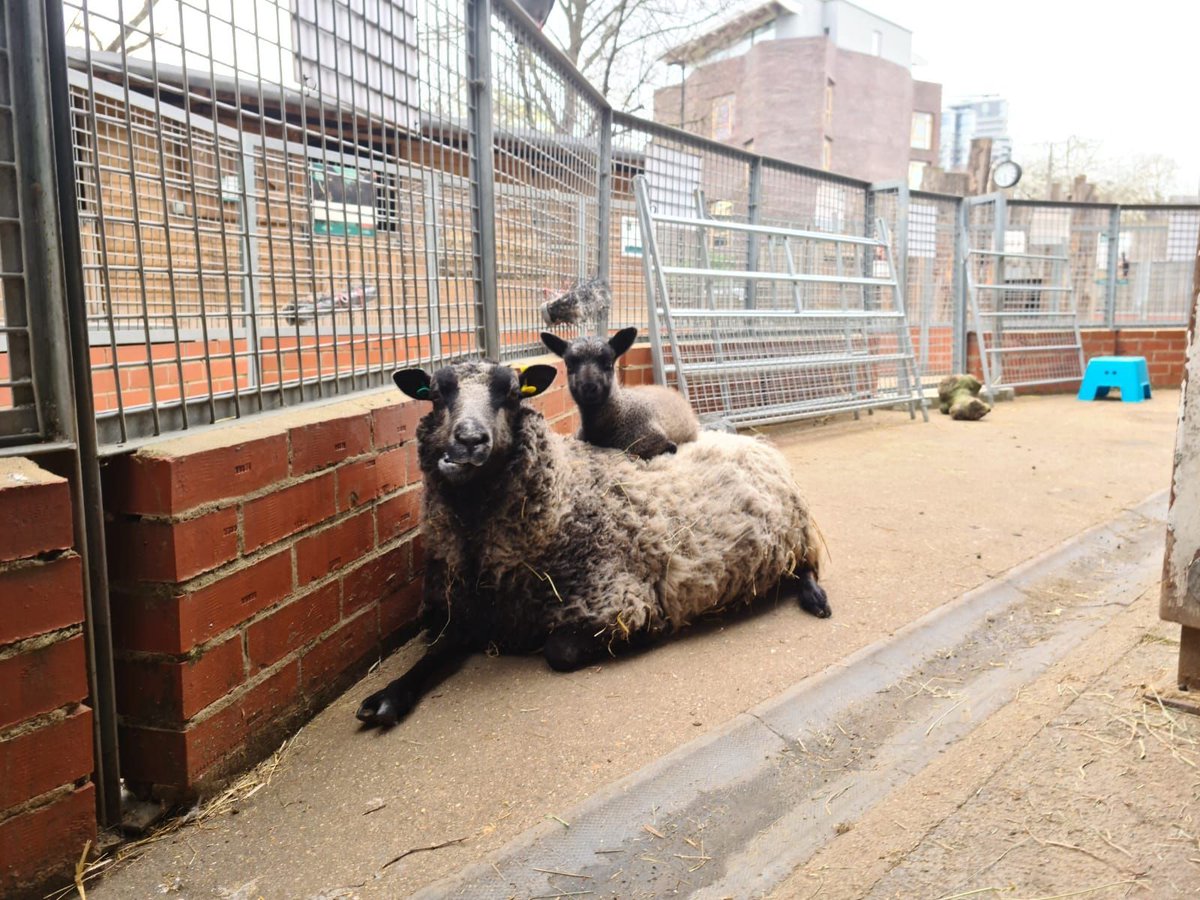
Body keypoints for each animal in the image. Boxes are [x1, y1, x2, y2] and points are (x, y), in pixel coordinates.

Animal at [355, 359, 830, 727]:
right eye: (436, 395)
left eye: (511, 394)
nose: (469, 441)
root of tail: (741, 436)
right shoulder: (468, 612)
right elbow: (438, 648)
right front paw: (387, 698)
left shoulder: (617, 600)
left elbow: (559, 650)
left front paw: (649, 635)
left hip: (793, 537)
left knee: (807, 567)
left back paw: (815, 598)